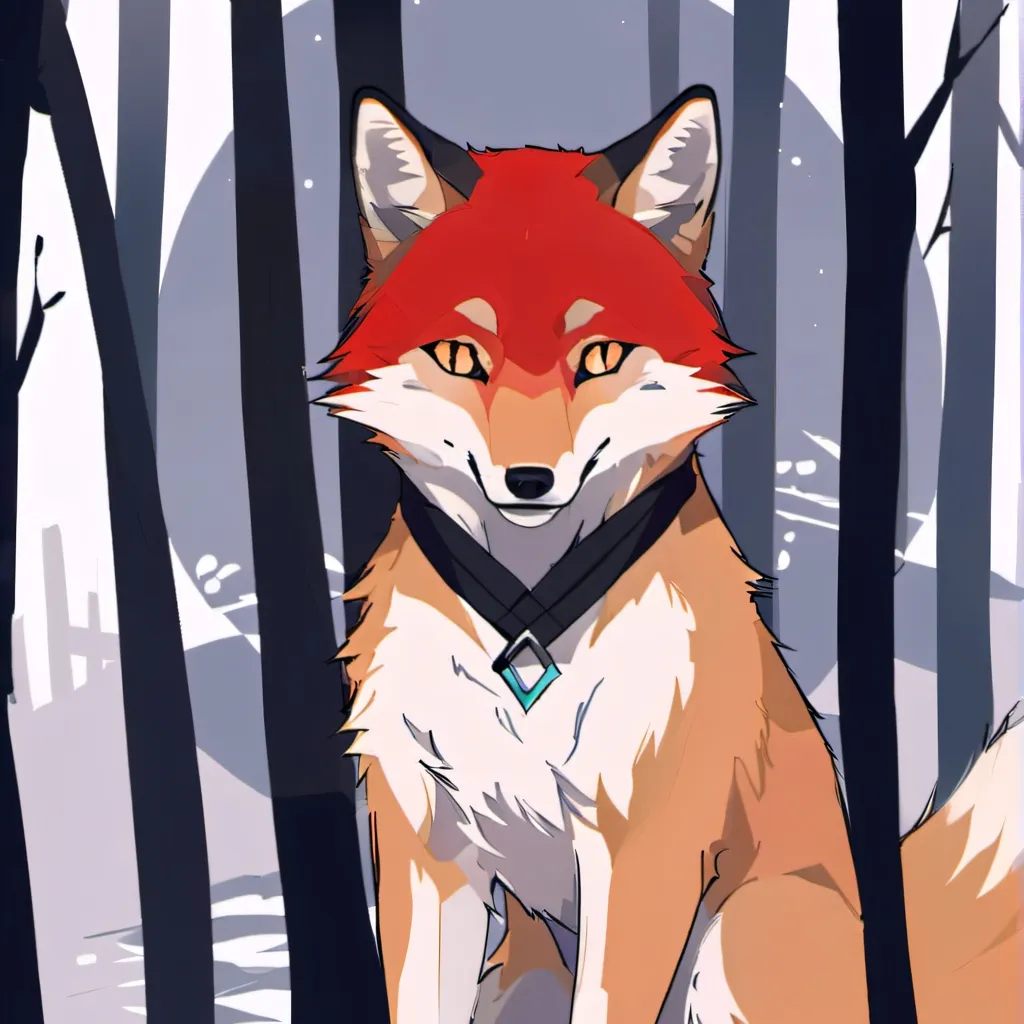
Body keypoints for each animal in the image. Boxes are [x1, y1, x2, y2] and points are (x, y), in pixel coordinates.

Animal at [316, 85, 1023, 1023]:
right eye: (462, 356)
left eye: (600, 356)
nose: (529, 479)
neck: (529, 617)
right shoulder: (426, 849)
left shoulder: (641, 851)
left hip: (742, 940)